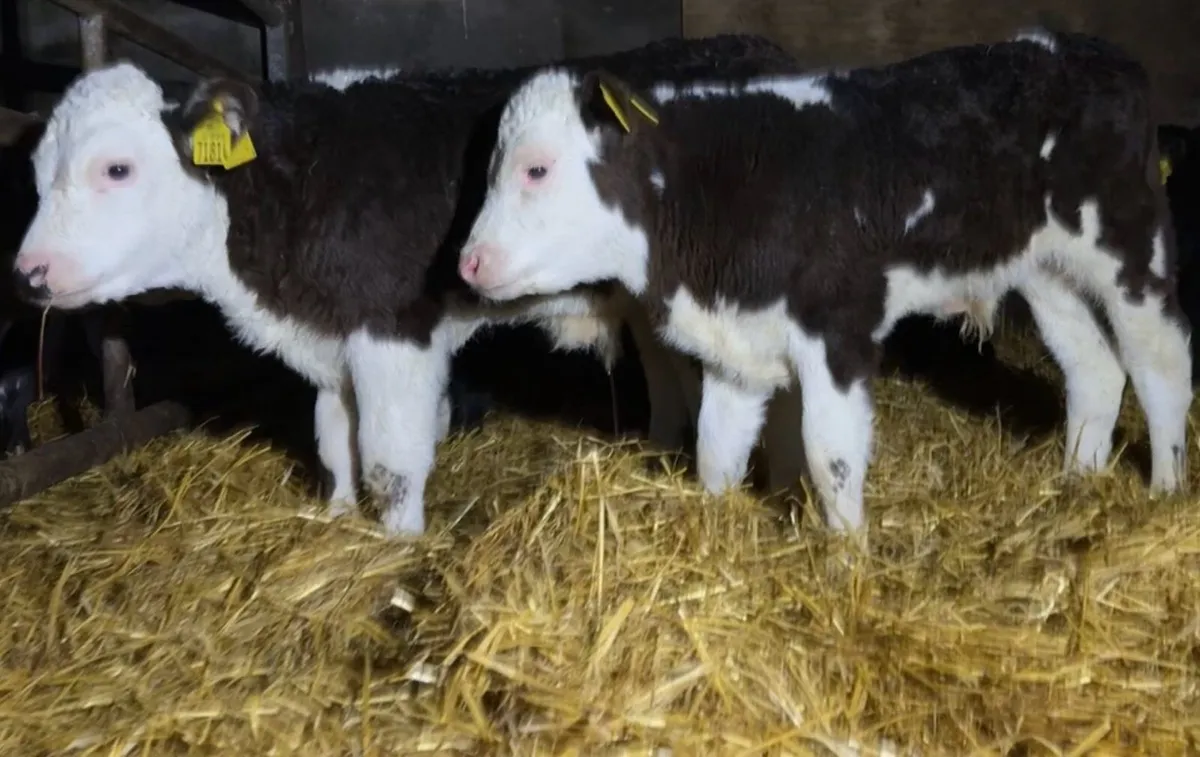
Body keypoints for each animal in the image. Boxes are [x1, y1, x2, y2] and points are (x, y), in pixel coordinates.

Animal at [9, 34, 803, 537]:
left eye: (116, 168)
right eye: (38, 169)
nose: (29, 274)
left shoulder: (394, 330)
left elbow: (391, 460)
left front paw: (395, 545)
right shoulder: (329, 338)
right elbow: (335, 442)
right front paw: (336, 522)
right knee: (669, 370)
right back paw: (661, 454)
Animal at [456, 28, 1193, 545]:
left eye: (537, 168)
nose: (469, 262)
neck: (717, 189)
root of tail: (1090, 51)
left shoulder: (838, 328)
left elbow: (830, 452)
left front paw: (846, 561)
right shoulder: (740, 338)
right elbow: (716, 449)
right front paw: (715, 534)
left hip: (1131, 249)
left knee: (1161, 365)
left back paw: (1165, 491)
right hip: (1045, 272)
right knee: (1094, 368)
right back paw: (1078, 479)